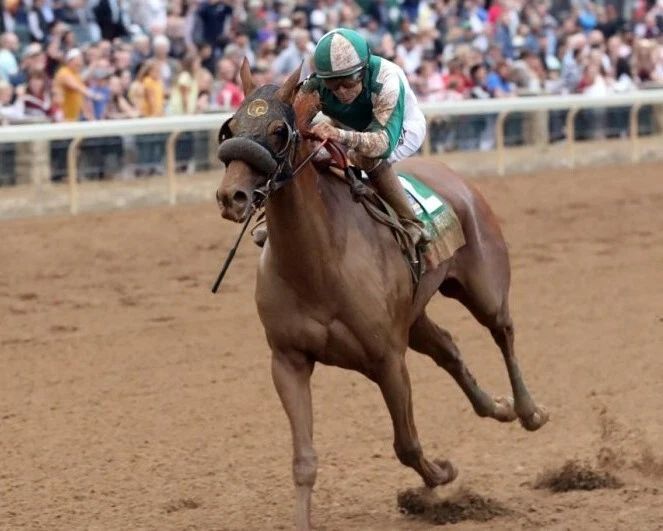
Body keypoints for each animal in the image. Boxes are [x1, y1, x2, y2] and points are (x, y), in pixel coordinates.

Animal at [215, 61, 548, 530]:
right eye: (230, 127)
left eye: (279, 130)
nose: (232, 196)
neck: (317, 264)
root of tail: (455, 178)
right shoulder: (288, 360)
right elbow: (304, 461)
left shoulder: (388, 358)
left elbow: (406, 444)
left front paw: (442, 474)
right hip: (414, 315)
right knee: (449, 348)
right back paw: (496, 407)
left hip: (484, 287)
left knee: (503, 332)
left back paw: (528, 410)